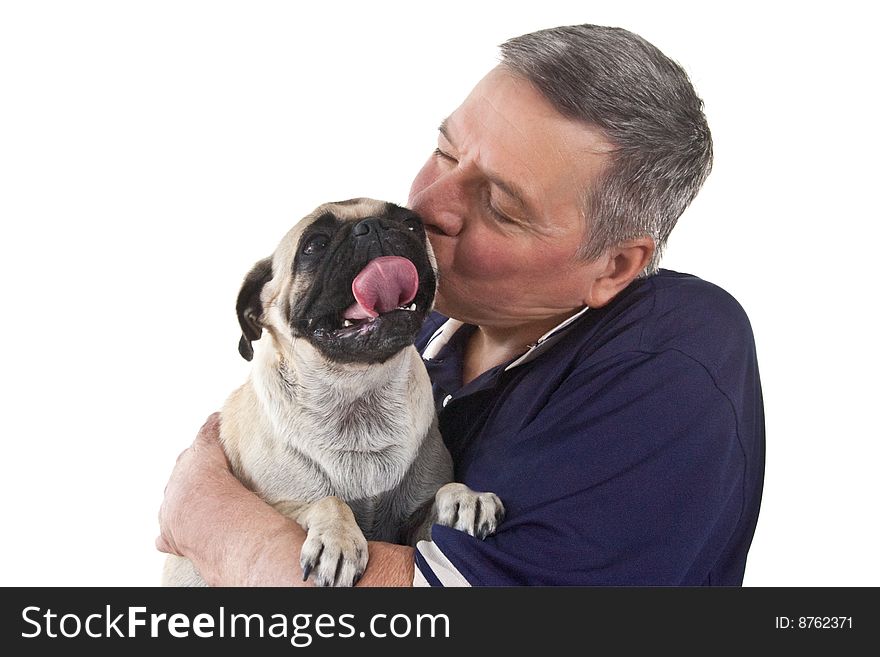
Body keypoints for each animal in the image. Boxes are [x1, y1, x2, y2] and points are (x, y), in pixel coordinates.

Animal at [162, 197, 506, 588]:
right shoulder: (275, 505)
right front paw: (337, 538)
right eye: (315, 245)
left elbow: (438, 498)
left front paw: (466, 498)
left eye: (411, 224)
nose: (374, 227)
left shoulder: (411, 526)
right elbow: (327, 502)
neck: (357, 393)